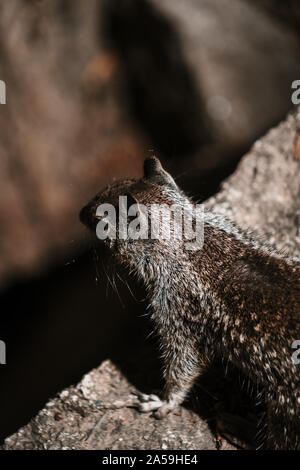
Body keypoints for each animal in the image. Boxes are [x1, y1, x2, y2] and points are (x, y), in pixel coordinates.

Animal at [79, 157, 300, 448]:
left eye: (100, 220)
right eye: (108, 186)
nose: (79, 212)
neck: (185, 231)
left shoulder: (176, 310)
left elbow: (182, 364)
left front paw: (162, 401)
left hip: (285, 412)